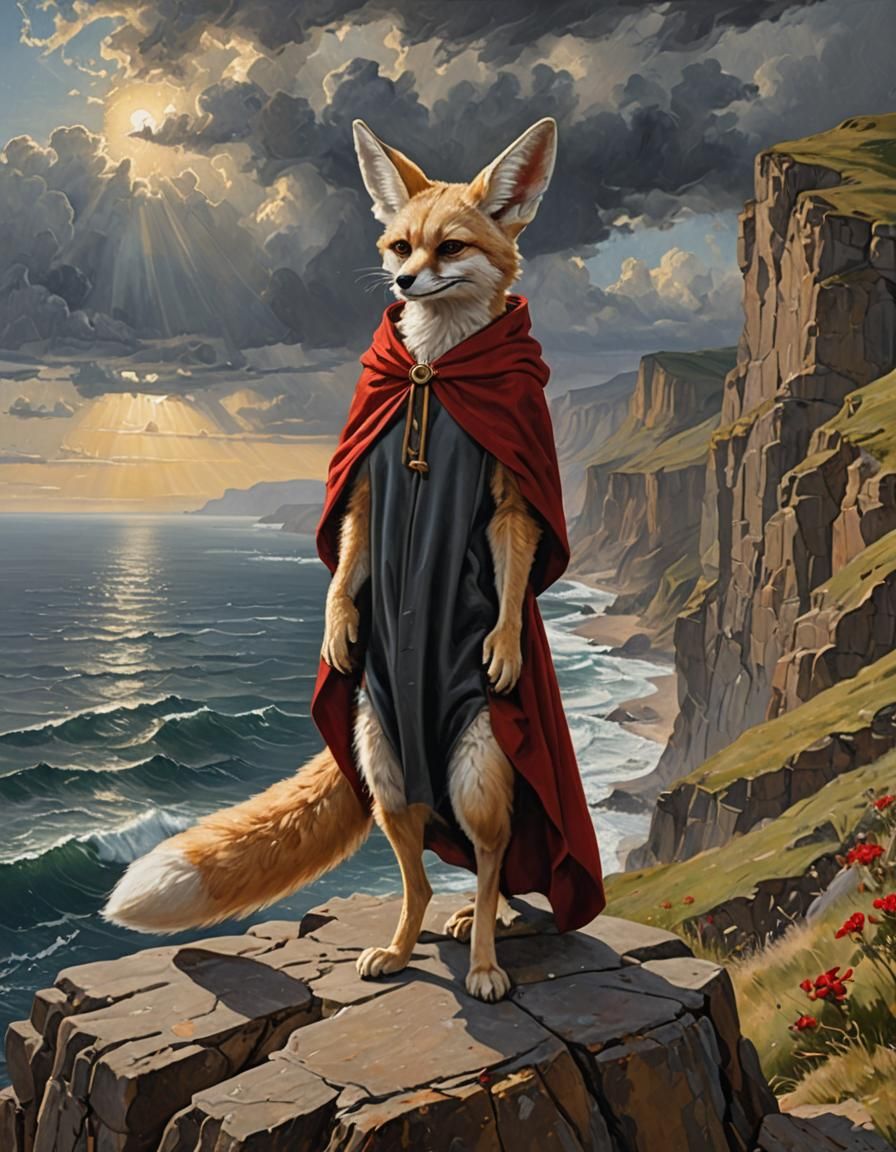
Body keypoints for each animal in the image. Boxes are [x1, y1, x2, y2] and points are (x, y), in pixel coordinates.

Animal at [104, 116, 563, 1003]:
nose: (403, 286)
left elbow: (513, 557)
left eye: (452, 248)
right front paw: (334, 625)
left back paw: (486, 952)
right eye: (398, 245)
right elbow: (348, 555)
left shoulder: (513, 486)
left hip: (476, 774)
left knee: (492, 861)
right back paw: (403, 945)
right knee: (418, 876)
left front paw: (503, 641)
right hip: (385, 769)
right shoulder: (367, 481)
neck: (432, 371)